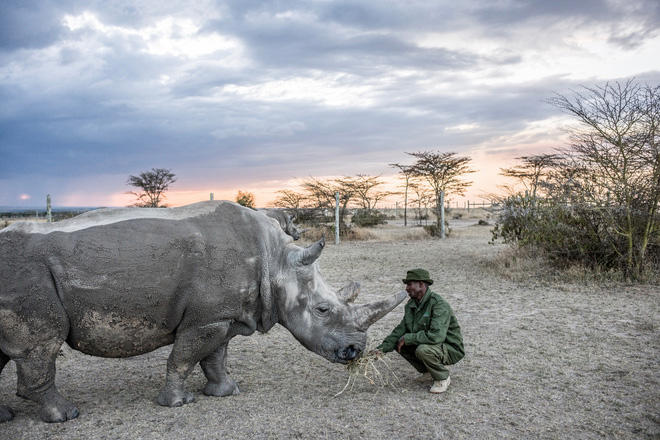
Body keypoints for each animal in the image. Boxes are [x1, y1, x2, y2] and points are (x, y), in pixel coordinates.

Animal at [0, 202, 408, 422]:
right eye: (322, 310)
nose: (355, 352)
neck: (276, 262)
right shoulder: (205, 319)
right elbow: (183, 358)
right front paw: (178, 403)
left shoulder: (222, 314)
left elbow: (215, 357)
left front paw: (226, 392)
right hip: (27, 275)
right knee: (42, 345)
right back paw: (66, 416)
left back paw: (8, 417)